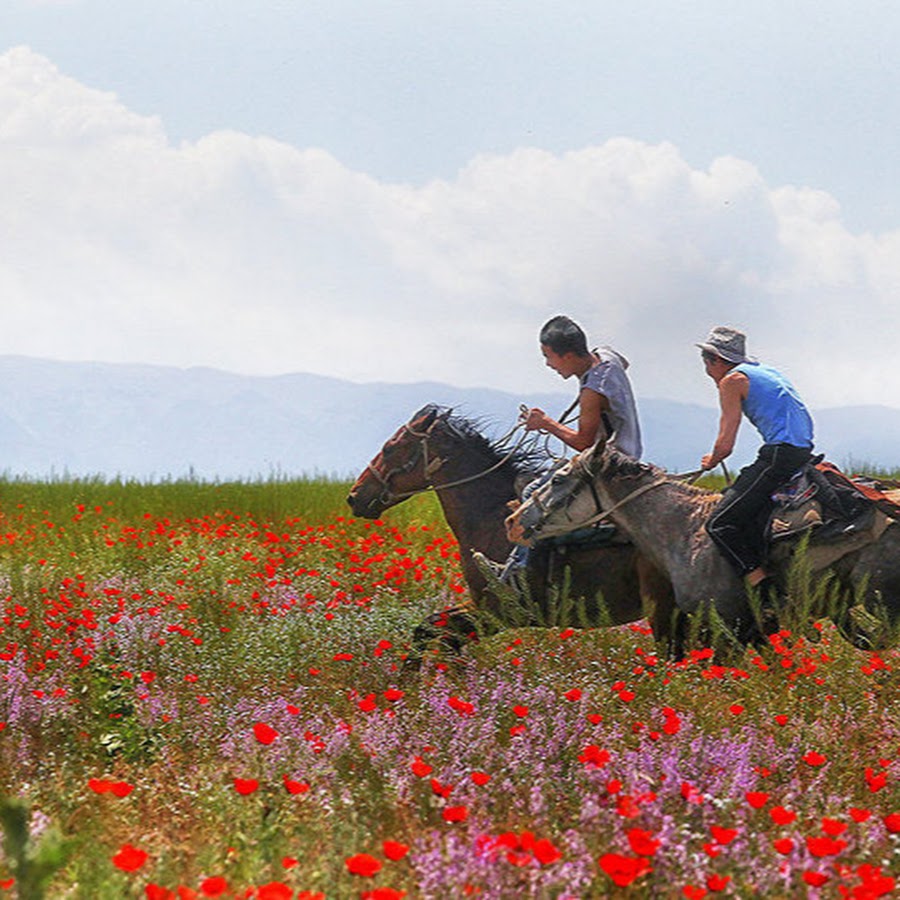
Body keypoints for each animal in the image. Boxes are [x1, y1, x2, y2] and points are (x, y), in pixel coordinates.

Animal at [348, 408, 680, 652]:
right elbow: (428, 629)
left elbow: (436, 634)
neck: (488, 515)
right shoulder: (480, 605)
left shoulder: (500, 613)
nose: (354, 496)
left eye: (391, 448)